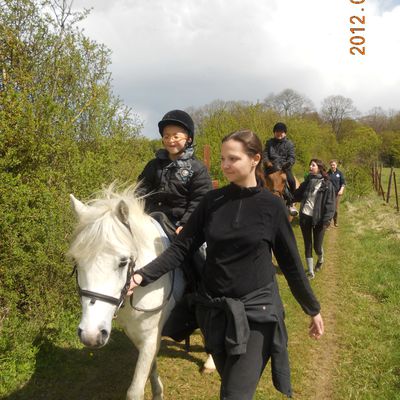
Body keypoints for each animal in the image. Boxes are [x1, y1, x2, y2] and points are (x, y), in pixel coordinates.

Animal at [68, 187, 187, 400]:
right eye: (76, 260)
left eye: (123, 262)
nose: (91, 335)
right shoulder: (140, 335)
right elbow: (152, 365)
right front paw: (158, 391)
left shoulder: (150, 336)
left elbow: (135, 391)